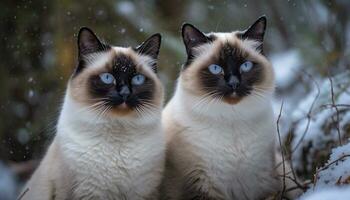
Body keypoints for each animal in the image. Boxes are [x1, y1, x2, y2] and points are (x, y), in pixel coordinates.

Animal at [163, 17, 296, 200]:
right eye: (215, 68)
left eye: (245, 66)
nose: (234, 83)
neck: (232, 119)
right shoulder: (200, 184)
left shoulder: (262, 181)